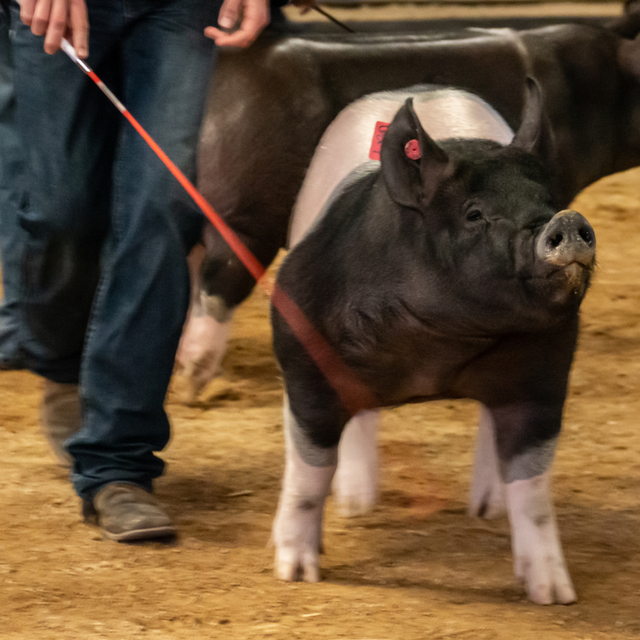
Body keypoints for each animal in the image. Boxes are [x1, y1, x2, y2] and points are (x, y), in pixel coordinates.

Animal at [268, 81, 596, 604]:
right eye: (474, 213)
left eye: (549, 200)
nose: (565, 220)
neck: (436, 350)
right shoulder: (304, 359)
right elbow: (309, 472)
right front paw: (297, 573)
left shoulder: (544, 378)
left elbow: (532, 489)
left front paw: (554, 595)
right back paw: (357, 503)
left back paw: (486, 509)